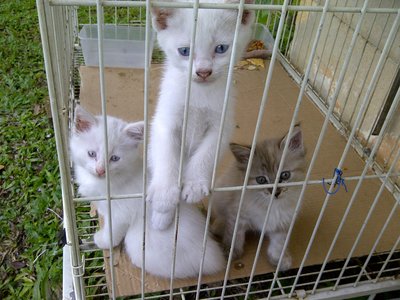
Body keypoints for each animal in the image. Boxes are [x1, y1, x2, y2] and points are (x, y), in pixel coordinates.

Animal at [69, 106, 225, 278]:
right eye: (91, 154)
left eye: (115, 158)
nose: (100, 170)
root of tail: (211, 254)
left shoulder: (121, 213)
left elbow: (113, 231)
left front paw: (103, 240)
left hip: (139, 242)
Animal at [148, 0, 255, 230]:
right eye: (184, 51)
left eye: (221, 48)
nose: (203, 72)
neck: (199, 93)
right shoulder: (165, 120)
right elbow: (167, 155)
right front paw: (164, 195)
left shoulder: (222, 124)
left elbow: (206, 154)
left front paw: (195, 184)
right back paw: (161, 218)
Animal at [211, 125, 304, 270]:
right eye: (261, 180)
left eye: (285, 175)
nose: (275, 192)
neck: (271, 206)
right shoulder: (238, 214)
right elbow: (234, 235)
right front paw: (230, 252)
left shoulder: (283, 221)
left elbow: (279, 243)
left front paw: (279, 259)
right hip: (219, 196)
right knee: (221, 216)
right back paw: (218, 226)